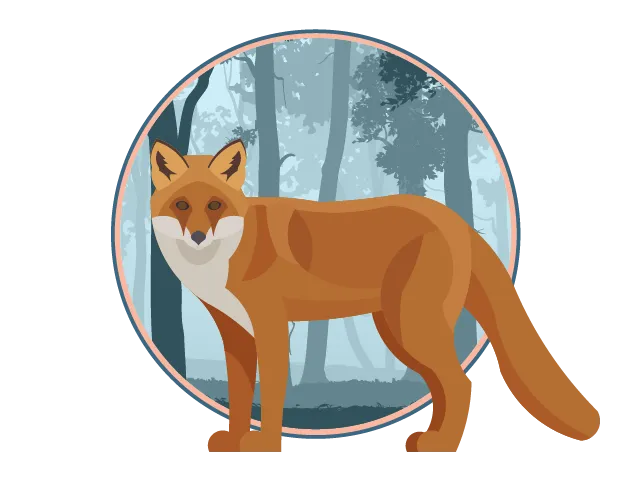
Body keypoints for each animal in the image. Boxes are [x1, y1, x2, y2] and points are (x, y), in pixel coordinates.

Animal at [149, 138, 600, 454]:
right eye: (182, 205)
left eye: (215, 205)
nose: (198, 236)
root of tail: (454, 218)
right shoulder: (236, 335)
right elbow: (242, 397)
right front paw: (234, 441)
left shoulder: (270, 327)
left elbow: (271, 393)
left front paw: (264, 445)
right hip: (400, 333)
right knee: (442, 387)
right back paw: (429, 436)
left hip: (411, 328)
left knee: (460, 385)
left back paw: (443, 445)